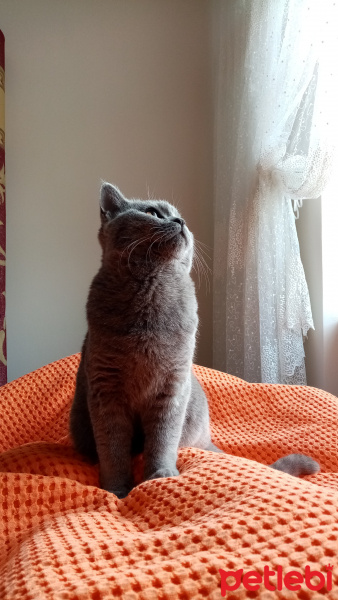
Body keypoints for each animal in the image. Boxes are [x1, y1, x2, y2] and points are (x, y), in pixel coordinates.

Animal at [69, 182, 320, 496]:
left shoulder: (172, 385)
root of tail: (208, 440)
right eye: (153, 213)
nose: (181, 221)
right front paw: (116, 491)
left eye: (180, 216)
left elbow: (162, 440)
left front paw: (160, 476)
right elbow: (113, 448)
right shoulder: (106, 388)